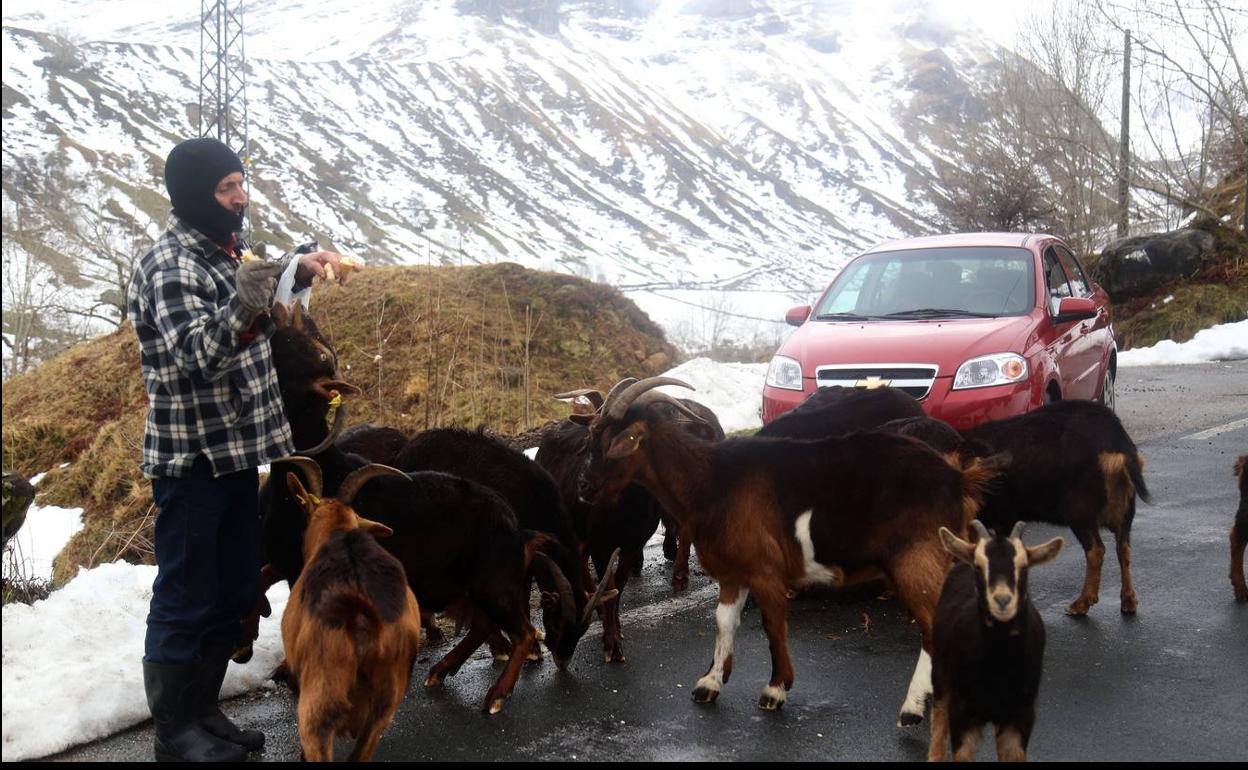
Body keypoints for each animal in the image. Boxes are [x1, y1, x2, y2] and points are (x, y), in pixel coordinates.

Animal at [579, 374, 998, 723]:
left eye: (612, 444)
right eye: (591, 438)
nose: (584, 487)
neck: (713, 481)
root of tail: (958, 479)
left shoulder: (765, 571)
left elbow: (773, 626)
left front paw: (775, 690)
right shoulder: (733, 573)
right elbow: (723, 622)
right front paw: (709, 684)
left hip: (917, 560)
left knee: (933, 627)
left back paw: (915, 709)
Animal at [928, 519, 1063, 758]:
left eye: (1024, 566)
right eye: (978, 566)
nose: (1002, 600)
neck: (999, 665)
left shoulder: (1020, 716)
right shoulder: (963, 713)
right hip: (940, 676)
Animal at [953, 399, 1148, 616]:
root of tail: (1119, 448)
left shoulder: (1005, 516)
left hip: (1080, 512)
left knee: (1096, 550)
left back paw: (1081, 603)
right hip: (1126, 510)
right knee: (1124, 548)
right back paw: (1128, 601)